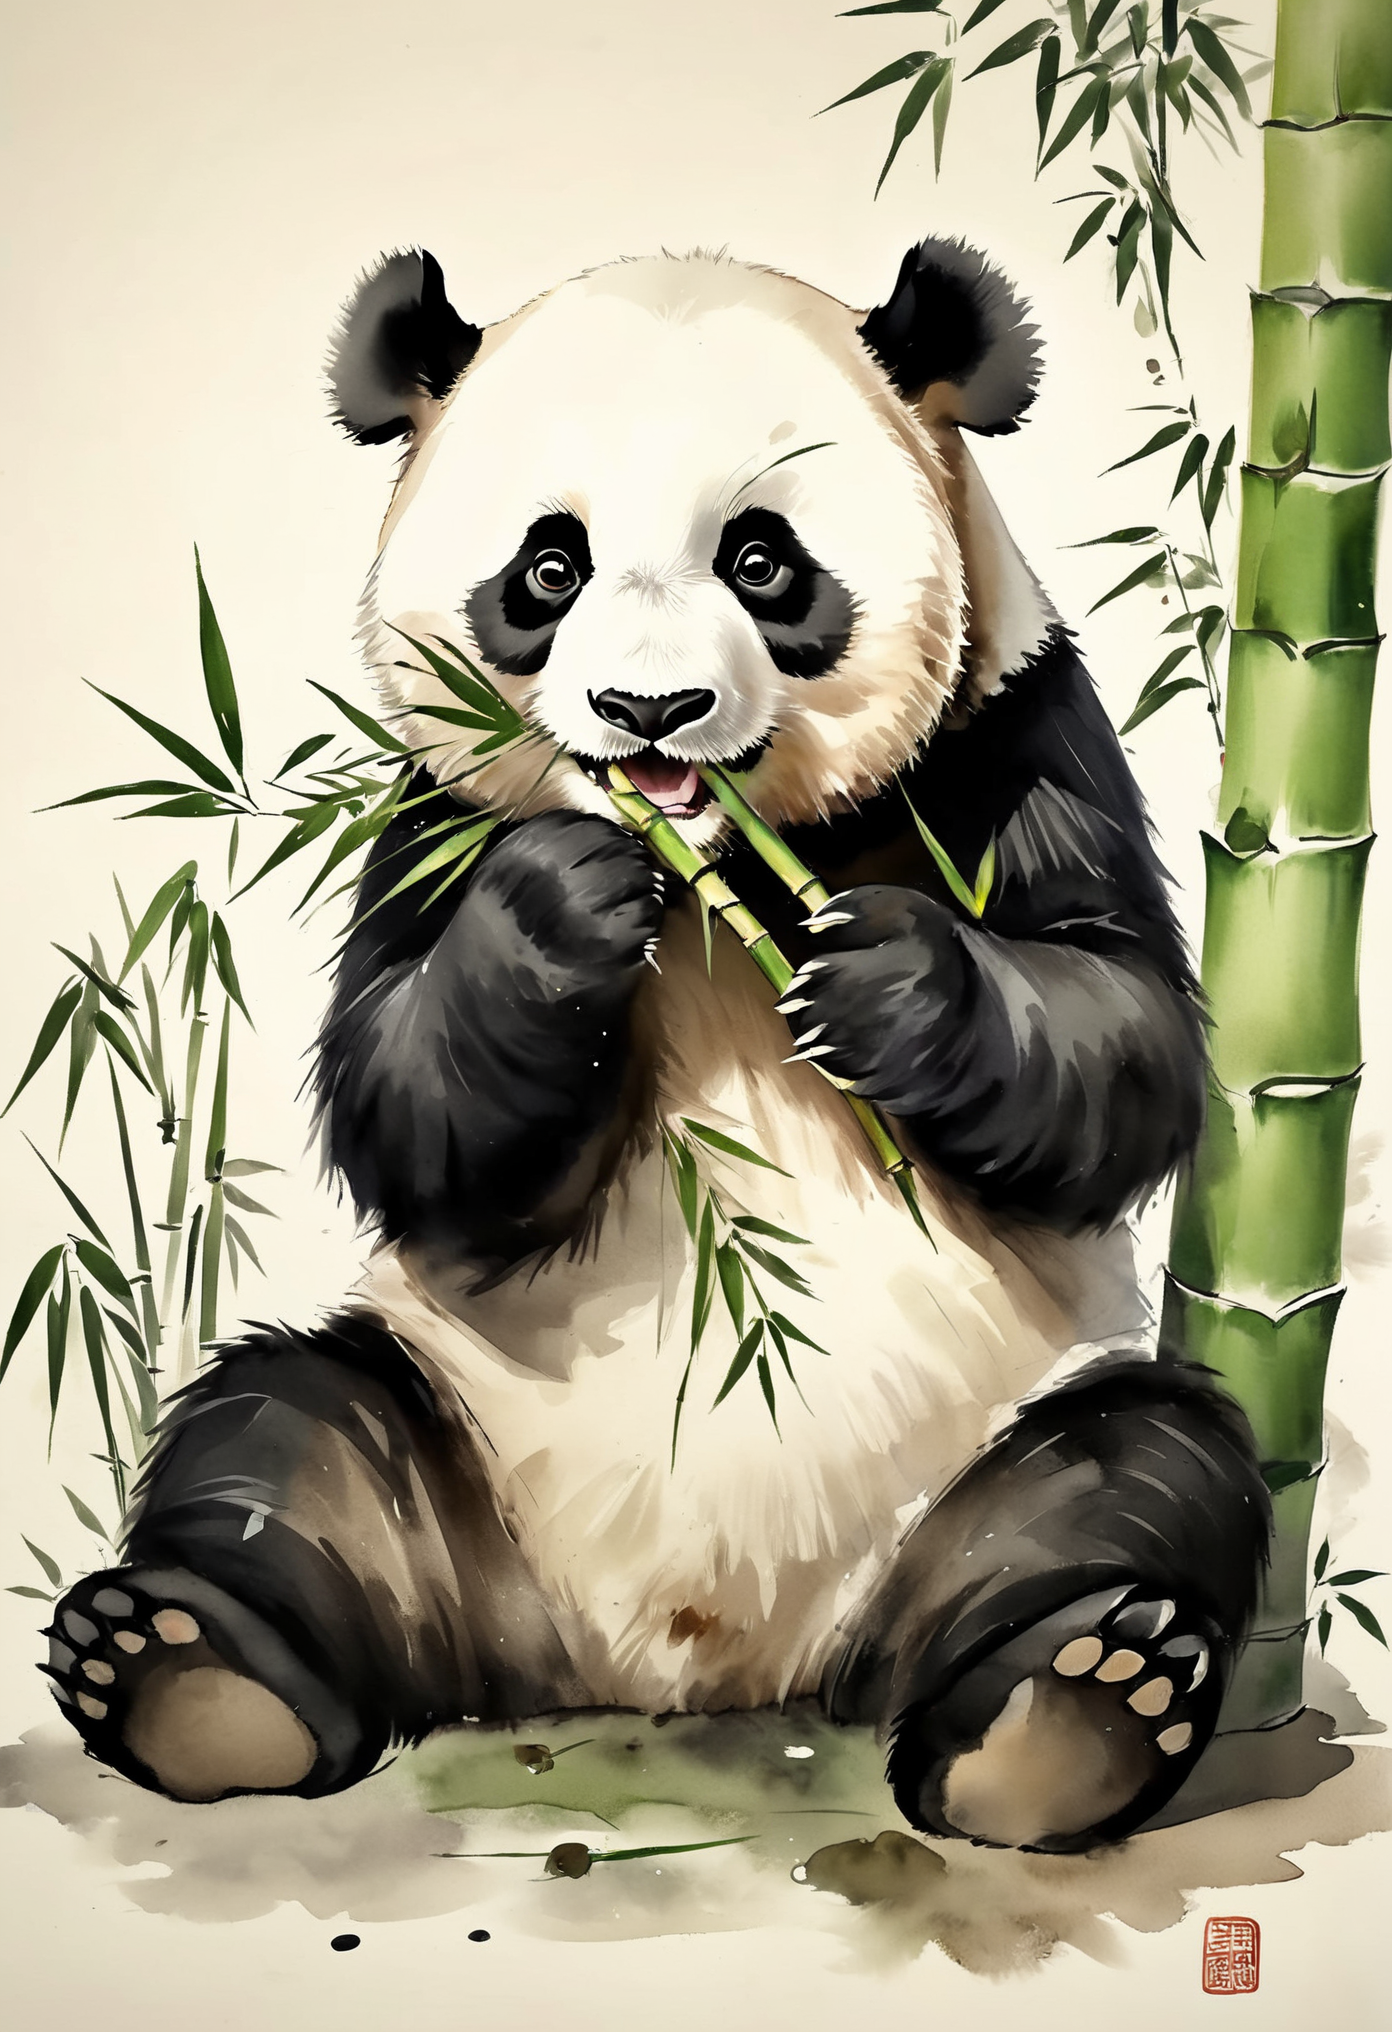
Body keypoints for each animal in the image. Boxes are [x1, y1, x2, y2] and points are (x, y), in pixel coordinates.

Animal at [45, 240, 1268, 1854]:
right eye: (547, 570)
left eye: (761, 561)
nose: (648, 711)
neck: (708, 869)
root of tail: (679, 1669)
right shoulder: (437, 810)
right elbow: (404, 1094)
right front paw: (560, 909)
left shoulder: (1013, 733)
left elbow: (1118, 1029)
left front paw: (887, 982)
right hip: (449, 1435)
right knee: (285, 1427)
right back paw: (187, 1671)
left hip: (984, 1451)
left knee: (1137, 1470)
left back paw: (1068, 1712)